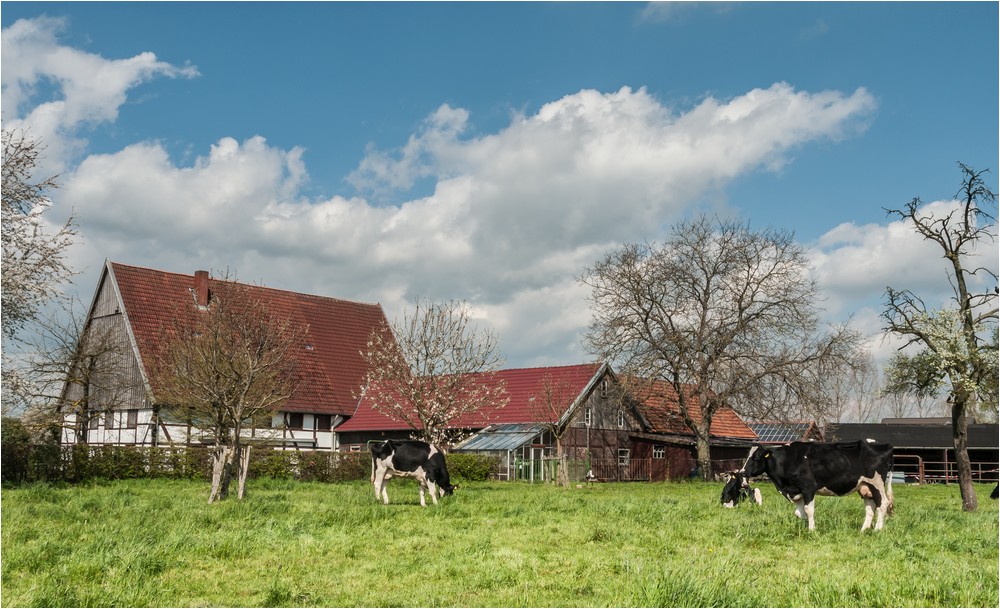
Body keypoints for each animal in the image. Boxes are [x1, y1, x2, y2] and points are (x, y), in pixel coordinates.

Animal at [740, 440, 896, 528]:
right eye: (747, 455)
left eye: (756, 457)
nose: (742, 472)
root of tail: (886, 446)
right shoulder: (796, 491)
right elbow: (799, 513)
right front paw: (805, 526)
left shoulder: (808, 488)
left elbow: (809, 510)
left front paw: (811, 529)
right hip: (865, 487)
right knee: (871, 508)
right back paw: (863, 530)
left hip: (877, 484)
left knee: (883, 504)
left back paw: (877, 529)